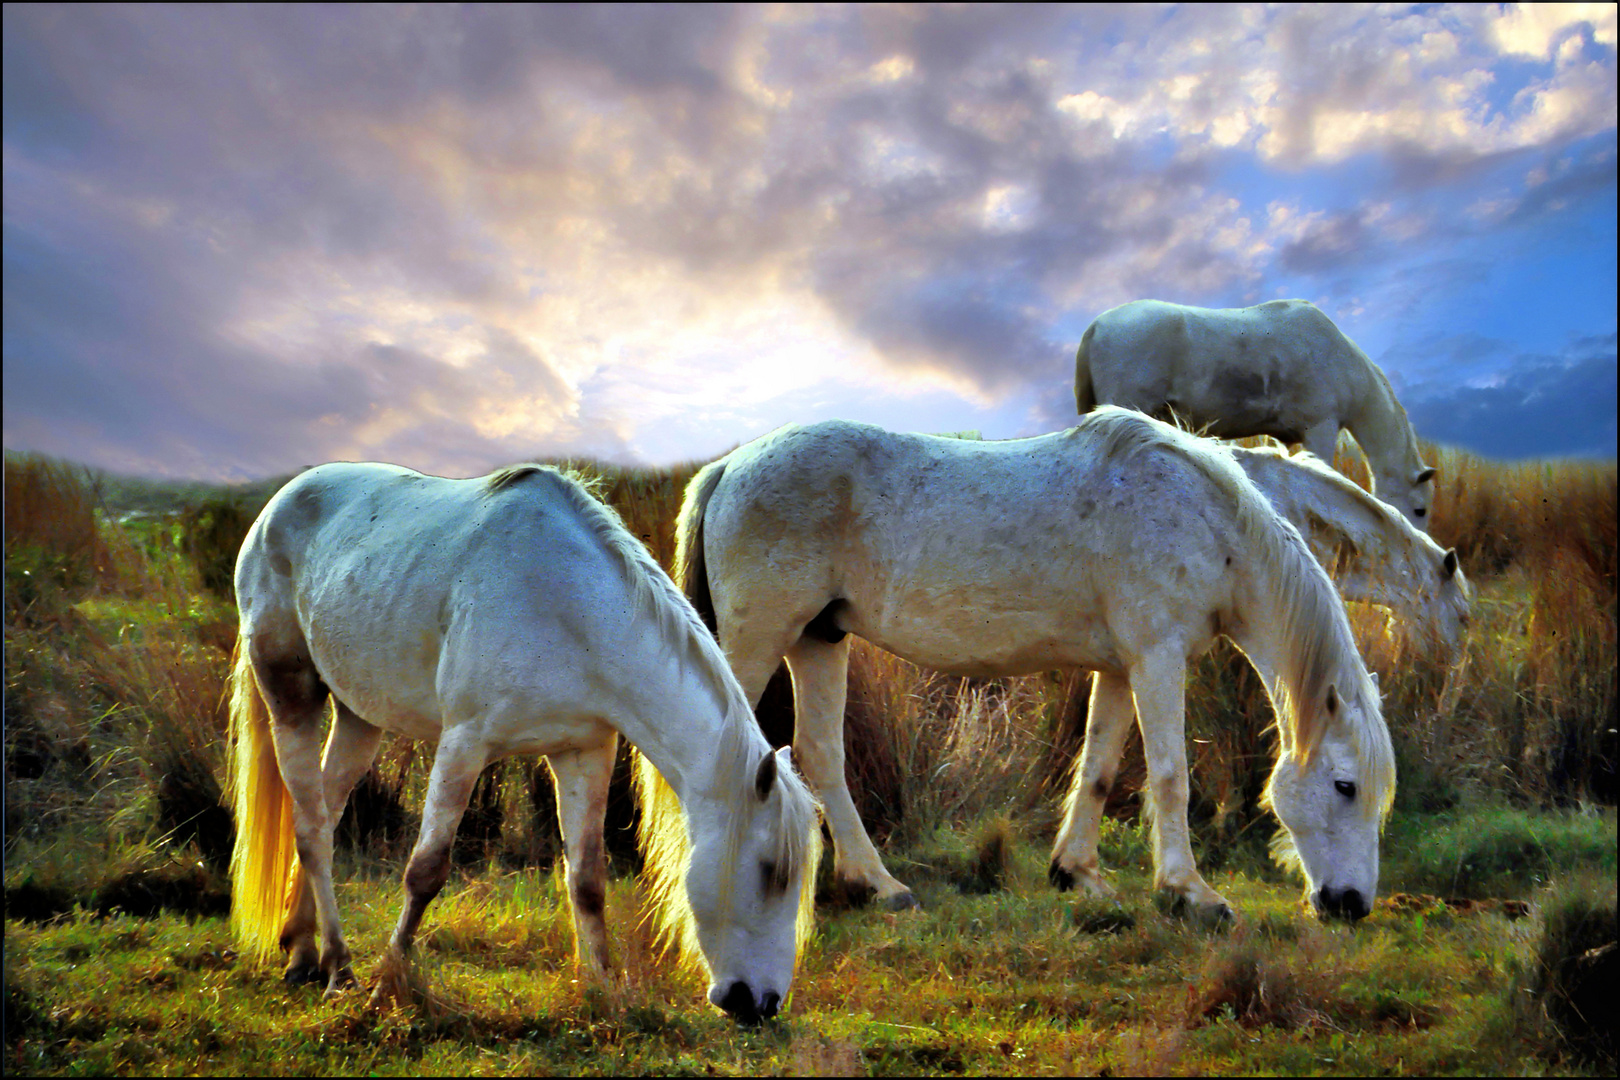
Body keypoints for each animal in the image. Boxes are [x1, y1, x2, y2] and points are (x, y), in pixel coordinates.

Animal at [228, 459, 822, 1029]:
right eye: (771, 870)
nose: (761, 1003)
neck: (568, 606)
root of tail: (276, 508)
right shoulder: (463, 745)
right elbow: (425, 871)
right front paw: (388, 984)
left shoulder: (584, 753)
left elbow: (587, 879)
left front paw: (604, 991)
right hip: (291, 697)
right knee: (311, 830)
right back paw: (340, 968)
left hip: (358, 718)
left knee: (326, 815)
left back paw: (303, 953)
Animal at [677, 409, 1399, 926]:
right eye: (1345, 786)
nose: (1351, 905)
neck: (1204, 518)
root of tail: (731, 465)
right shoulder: (1158, 657)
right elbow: (1170, 776)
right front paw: (1190, 892)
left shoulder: (1123, 667)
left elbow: (1100, 768)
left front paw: (1078, 873)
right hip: (760, 640)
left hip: (818, 639)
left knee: (821, 755)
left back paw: (878, 885)